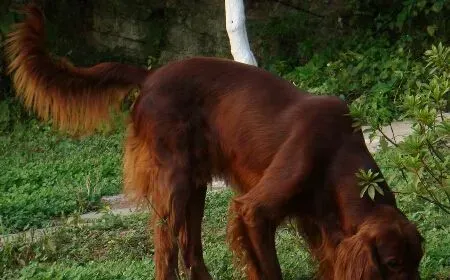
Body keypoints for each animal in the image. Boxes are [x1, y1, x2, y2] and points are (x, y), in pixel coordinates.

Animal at [5, 4, 424, 280]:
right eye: (392, 264)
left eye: (417, 260)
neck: (338, 155)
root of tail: (151, 76)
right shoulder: (254, 211)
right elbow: (268, 266)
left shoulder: (322, 227)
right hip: (173, 184)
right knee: (166, 251)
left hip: (195, 185)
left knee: (190, 249)